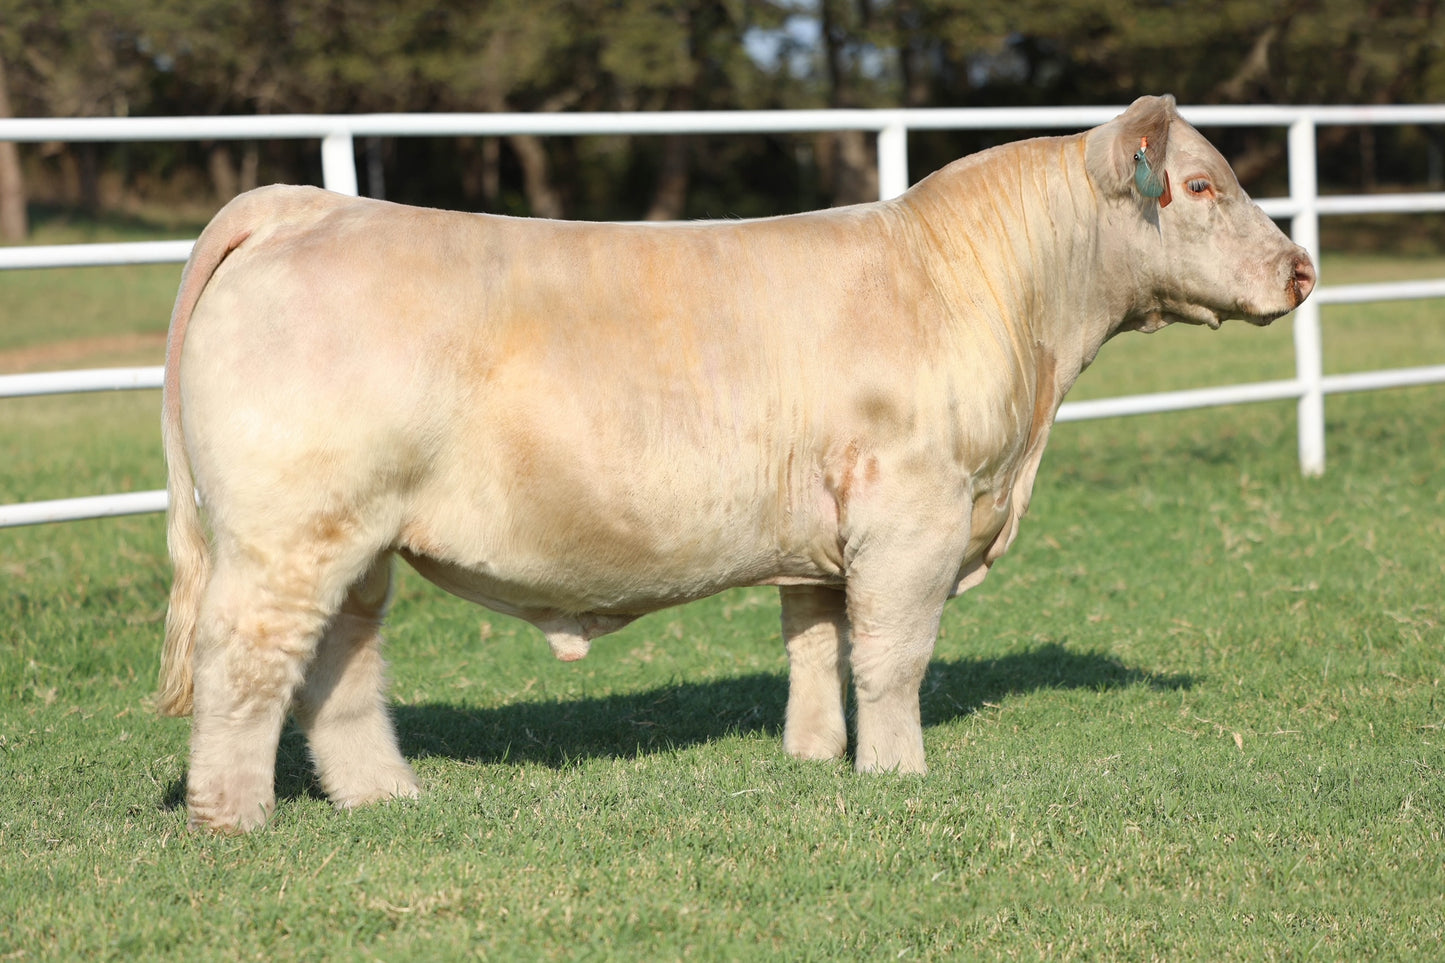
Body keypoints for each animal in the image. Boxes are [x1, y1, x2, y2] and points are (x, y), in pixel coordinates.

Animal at [155, 95, 1314, 833]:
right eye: (1199, 184)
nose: (1300, 267)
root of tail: (307, 204)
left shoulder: (823, 531)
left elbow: (814, 644)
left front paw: (812, 757)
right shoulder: (914, 509)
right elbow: (890, 656)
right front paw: (895, 774)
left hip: (356, 542)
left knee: (339, 667)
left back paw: (385, 798)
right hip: (289, 533)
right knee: (247, 659)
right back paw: (232, 819)